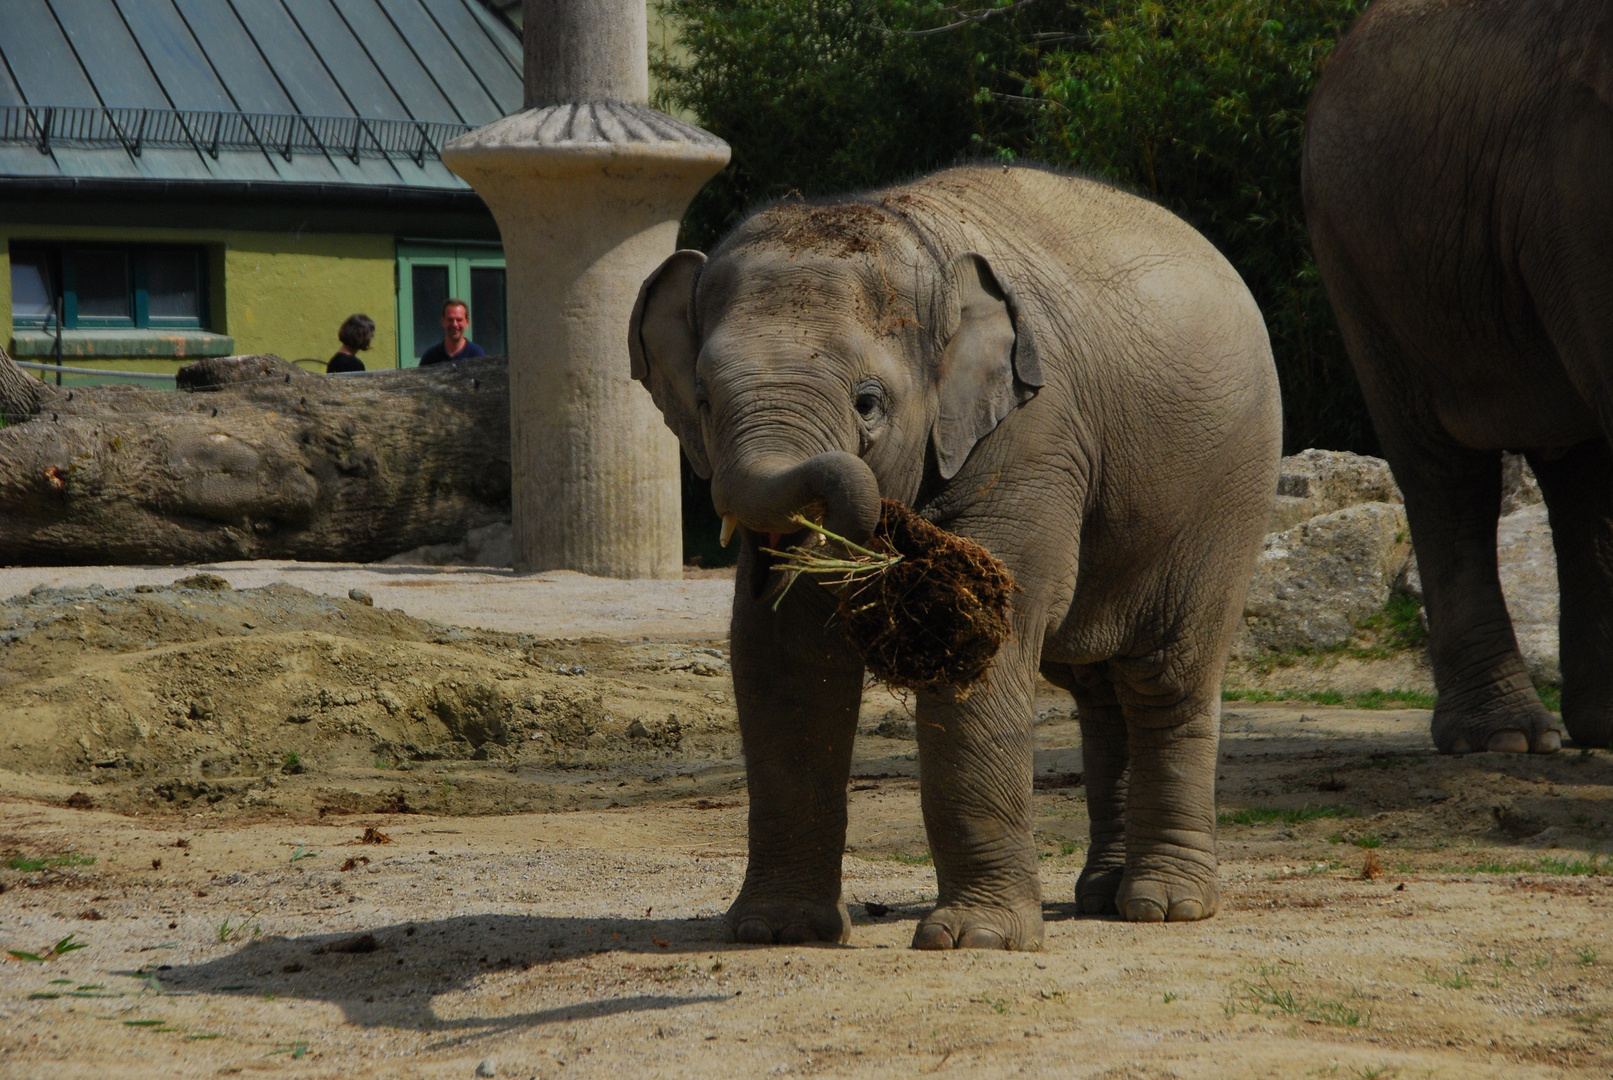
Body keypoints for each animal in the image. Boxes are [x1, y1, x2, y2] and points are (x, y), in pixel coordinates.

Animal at [622, 165, 1277, 954]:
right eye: (704, 400)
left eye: (868, 403)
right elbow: (782, 658)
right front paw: (774, 932)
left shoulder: (1034, 438)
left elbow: (976, 641)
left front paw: (975, 941)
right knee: (1099, 689)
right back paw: (1100, 897)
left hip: (1226, 497)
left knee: (1164, 677)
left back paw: (1164, 906)